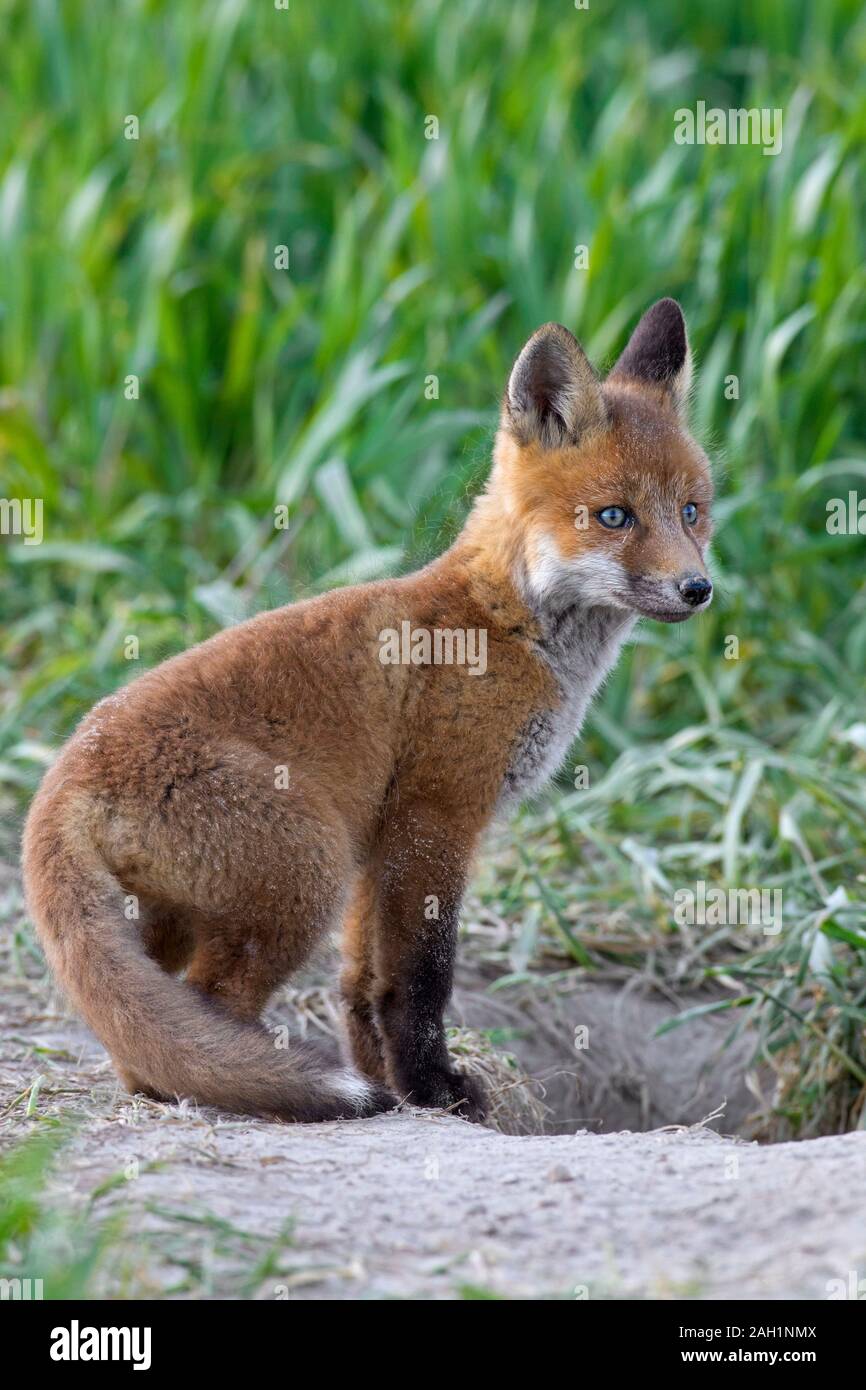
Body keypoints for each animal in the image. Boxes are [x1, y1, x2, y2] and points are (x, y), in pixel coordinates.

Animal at [22, 298, 711, 1123]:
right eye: (614, 517)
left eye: (692, 512)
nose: (698, 589)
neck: (504, 623)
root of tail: (64, 773)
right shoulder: (435, 816)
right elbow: (418, 981)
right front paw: (433, 1090)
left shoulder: (378, 839)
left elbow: (360, 983)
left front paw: (391, 1082)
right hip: (305, 870)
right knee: (206, 1008)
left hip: (183, 914)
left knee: (143, 1032)